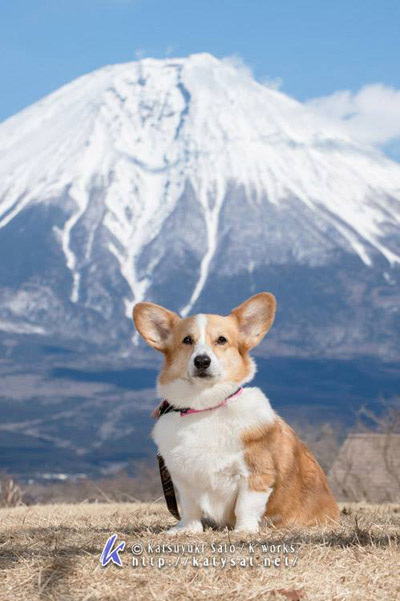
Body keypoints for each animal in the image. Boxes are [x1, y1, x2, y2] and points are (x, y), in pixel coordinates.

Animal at [133, 292, 340, 532]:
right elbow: (190, 508)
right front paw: (186, 529)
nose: (202, 361)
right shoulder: (184, 478)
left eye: (222, 340)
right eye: (187, 340)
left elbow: (245, 506)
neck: (205, 406)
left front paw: (244, 531)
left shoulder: (255, 475)